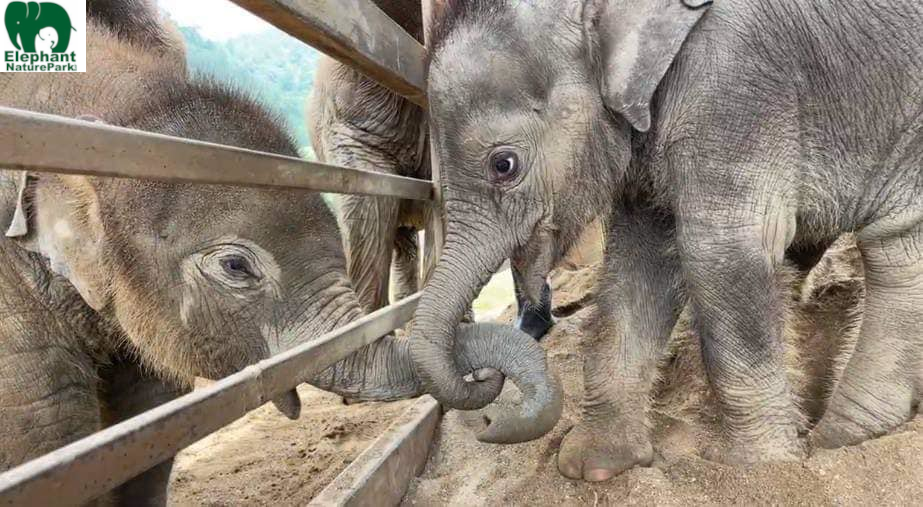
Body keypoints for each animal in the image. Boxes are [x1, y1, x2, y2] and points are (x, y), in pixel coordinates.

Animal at [414, 0, 923, 484]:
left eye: (504, 165)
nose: (486, 422)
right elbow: (637, 263)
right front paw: (593, 465)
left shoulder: (736, 88)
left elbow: (718, 251)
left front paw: (762, 469)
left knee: (892, 252)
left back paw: (837, 437)